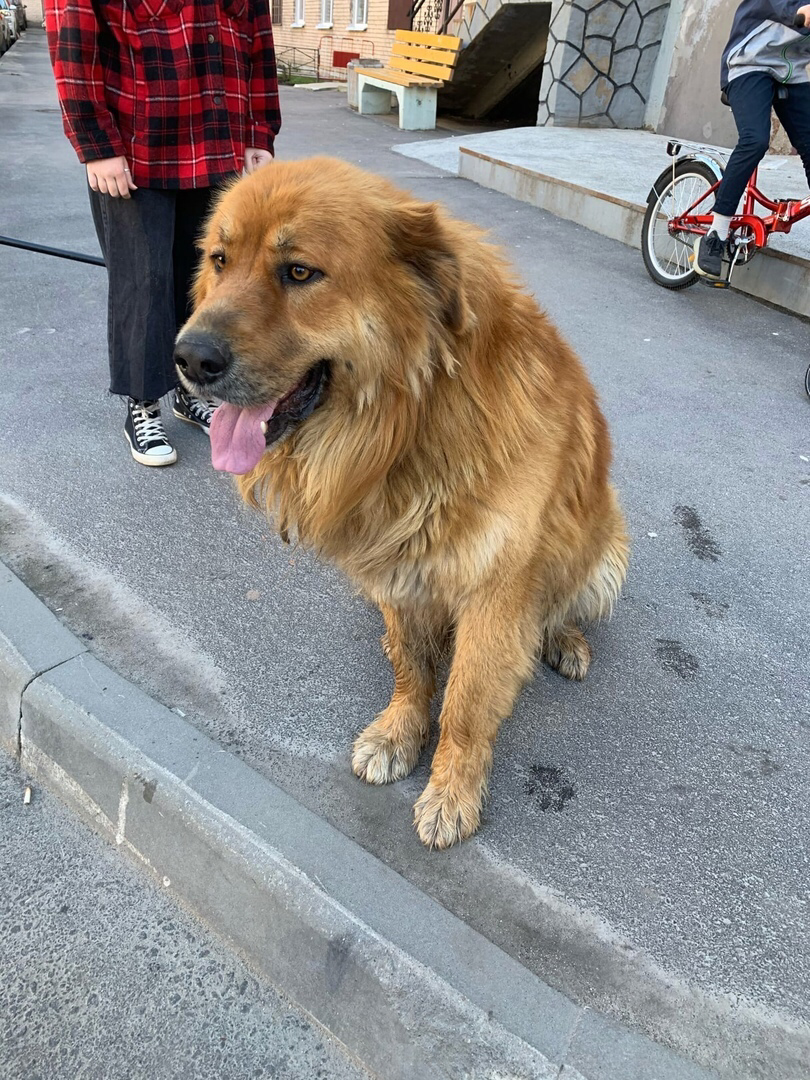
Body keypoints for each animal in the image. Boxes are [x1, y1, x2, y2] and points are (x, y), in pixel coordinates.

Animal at [177, 157, 630, 851]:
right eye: (220, 260)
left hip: (606, 552)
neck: (413, 420)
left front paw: (451, 792)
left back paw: (562, 639)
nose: (187, 358)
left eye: (299, 272)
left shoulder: (497, 590)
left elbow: (466, 703)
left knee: (557, 604)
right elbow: (412, 668)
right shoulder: (395, 568)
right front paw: (400, 733)